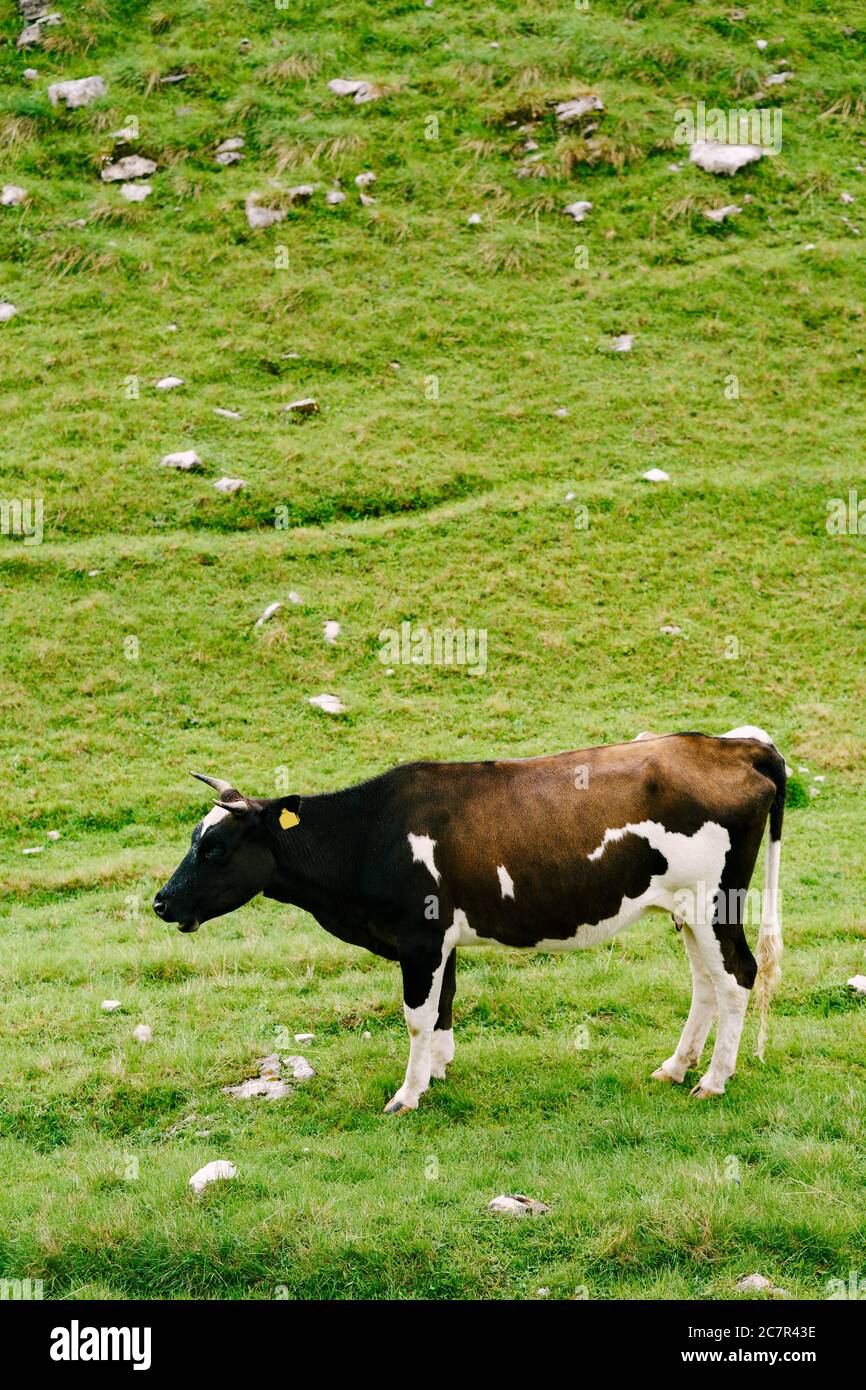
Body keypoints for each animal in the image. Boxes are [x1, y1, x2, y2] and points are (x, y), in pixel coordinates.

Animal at [153, 726, 785, 1115]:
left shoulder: (419, 937)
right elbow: (444, 1006)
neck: (369, 833)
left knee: (737, 977)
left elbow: (416, 1016)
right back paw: (675, 1068)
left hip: (715, 902)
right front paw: (437, 1072)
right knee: (706, 983)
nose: (161, 903)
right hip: (686, 910)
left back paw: (712, 1080)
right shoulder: (441, 940)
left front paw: (407, 1094)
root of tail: (731, 745)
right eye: (195, 840)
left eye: (216, 849)